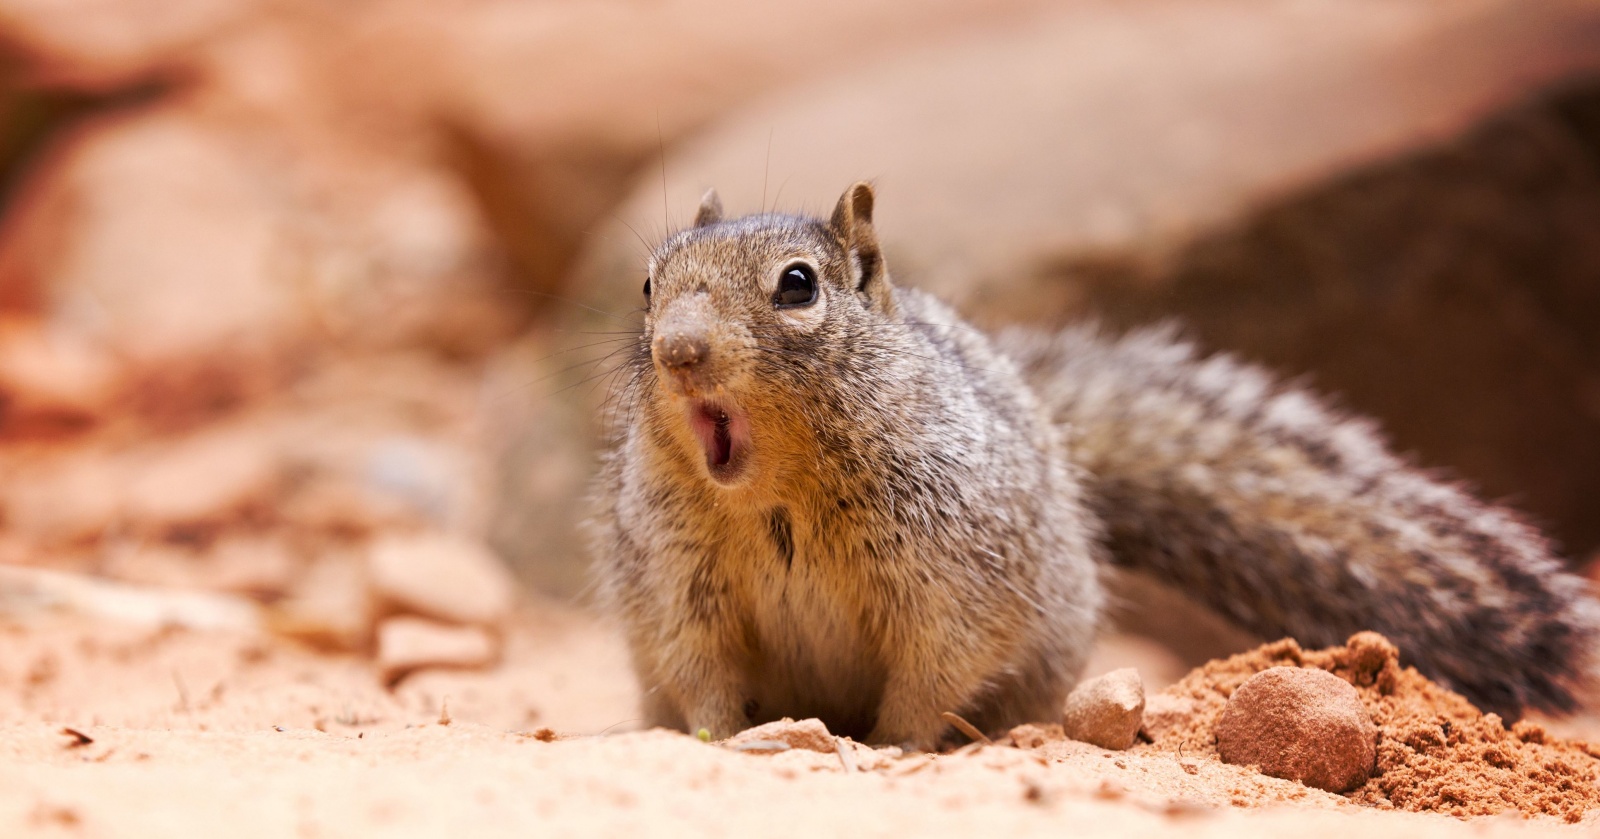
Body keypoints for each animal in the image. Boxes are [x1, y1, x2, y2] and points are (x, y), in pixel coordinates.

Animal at [588, 181, 1600, 746]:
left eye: (797, 286)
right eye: (648, 284)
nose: (677, 351)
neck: (776, 495)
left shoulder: (956, 579)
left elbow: (934, 671)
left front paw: (895, 744)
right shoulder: (677, 584)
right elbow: (700, 668)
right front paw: (716, 737)